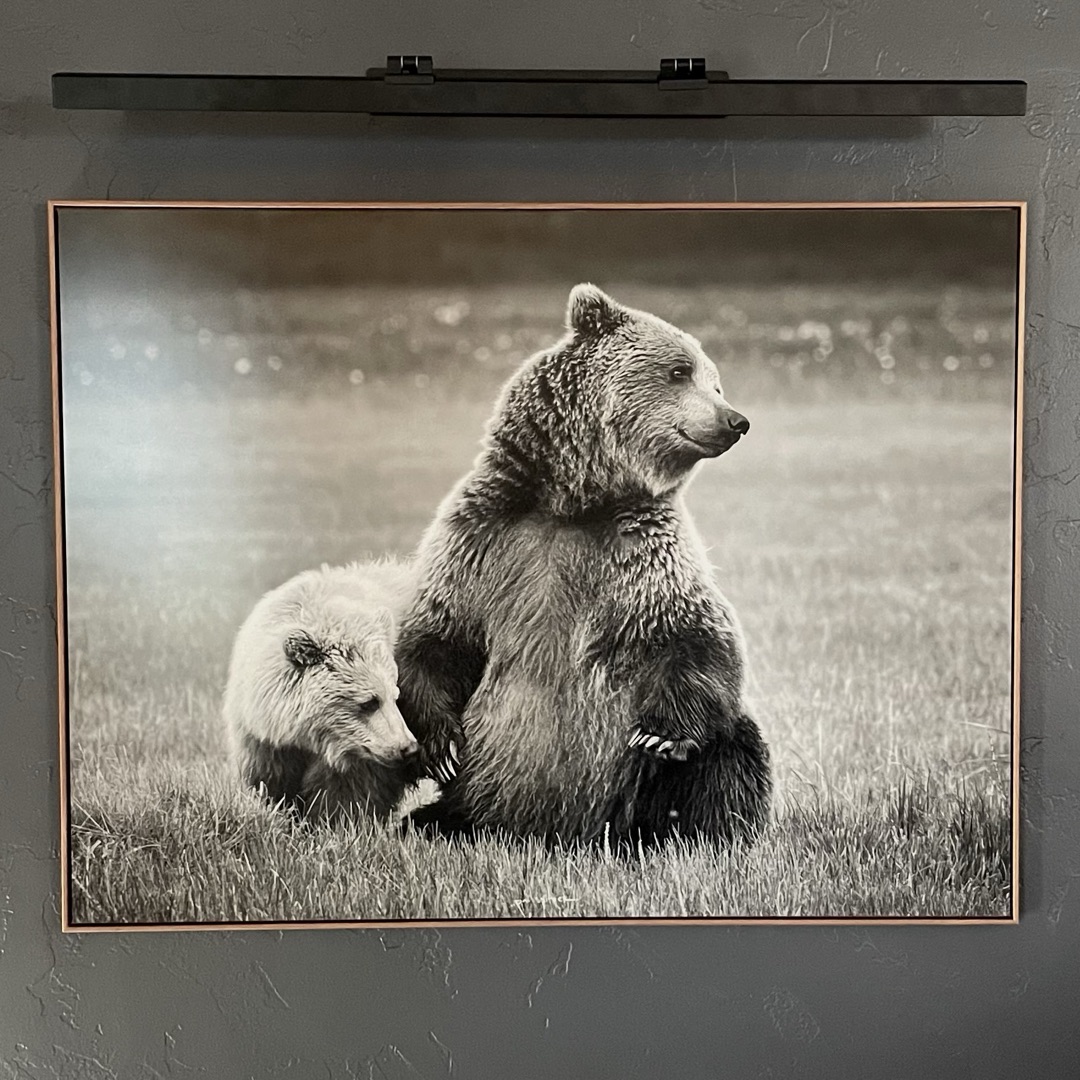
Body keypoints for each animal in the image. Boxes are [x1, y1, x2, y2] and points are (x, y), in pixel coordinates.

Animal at [223, 559, 424, 825]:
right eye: (370, 702)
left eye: (395, 696)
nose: (408, 747)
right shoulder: (263, 743)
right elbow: (270, 784)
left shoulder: (355, 757)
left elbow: (347, 797)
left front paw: (337, 822)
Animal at [394, 283, 772, 848]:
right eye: (679, 370)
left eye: (716, 381)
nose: (736, 421)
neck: (572, 503)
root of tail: (567, 836)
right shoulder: (482, 535)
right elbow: (438, 633)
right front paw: (442, 748)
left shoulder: (642, 549)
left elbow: (692, 631)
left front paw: (659, 735)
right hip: (475, 798)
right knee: (434, 818)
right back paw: (430, 823)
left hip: (642, 794)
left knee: (732, 753)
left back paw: (701, 836)